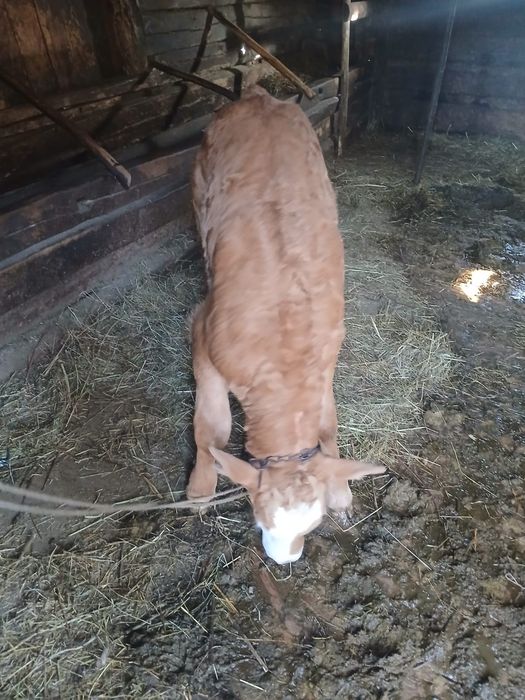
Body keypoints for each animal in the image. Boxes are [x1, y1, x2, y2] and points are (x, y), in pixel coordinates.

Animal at [186, 85, 384, 565]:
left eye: (310, 527)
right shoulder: (202, 335)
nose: (284, 561)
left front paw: (341, 491)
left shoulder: (327, 359)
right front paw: (200, 488)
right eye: (260, 521)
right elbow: (211, 427)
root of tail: (258, 97)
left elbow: (328, 426)